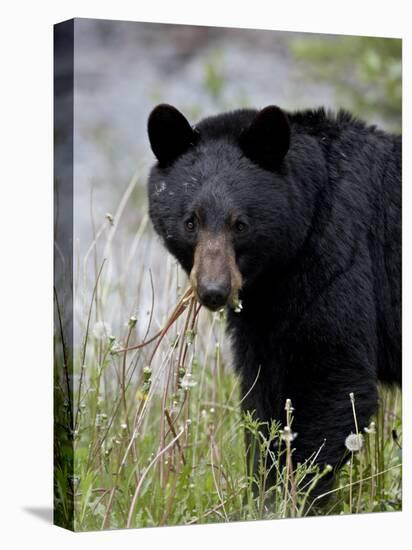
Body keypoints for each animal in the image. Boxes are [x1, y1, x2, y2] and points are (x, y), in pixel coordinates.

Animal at [146, 102, 400, 500]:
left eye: (240, 224)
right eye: (190, 222)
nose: (214, 290)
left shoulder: (337, 259)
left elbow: (332, 380)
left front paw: (293, 495)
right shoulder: (264, 310)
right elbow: (264, 393)